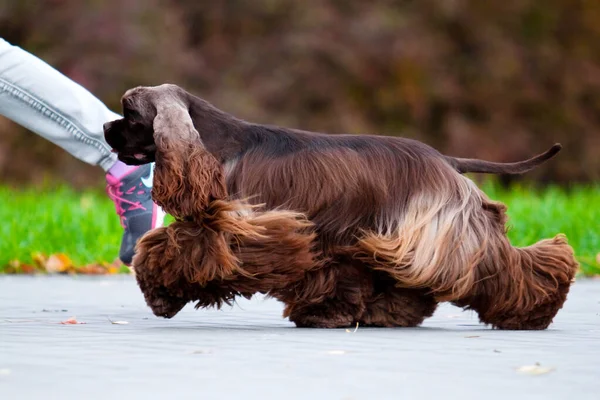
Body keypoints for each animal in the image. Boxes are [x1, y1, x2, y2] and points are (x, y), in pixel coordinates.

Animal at [103, 83, 576, 328]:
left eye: (130, 115)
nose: (105, 127)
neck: (218, 146)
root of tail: (446, 160)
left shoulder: (244, 228)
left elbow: (174, 251)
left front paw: (161, 294)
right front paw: (326, 314)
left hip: (439, 232)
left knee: (501, 266)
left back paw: (535, 310)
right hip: (401, 238)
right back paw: (389, 314)